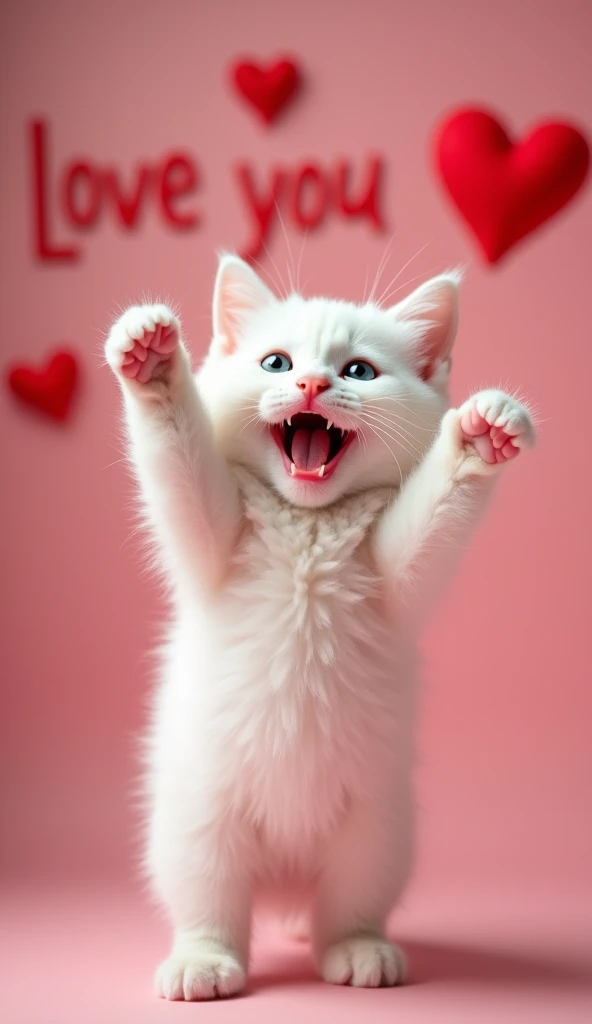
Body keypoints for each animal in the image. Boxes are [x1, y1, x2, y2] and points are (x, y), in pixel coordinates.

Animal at [104, 256, 532, 999]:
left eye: (359, 370)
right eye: (275, 362)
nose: (310, 384)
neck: (307, 523)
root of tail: (283, 883)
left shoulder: (393, 575)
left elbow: (432, 521)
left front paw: (480, 435)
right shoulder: (215, 542)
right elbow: (181, 467)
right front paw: (154, 360)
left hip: (376, 833)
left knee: (347, 903)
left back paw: (355, 948)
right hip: (198, 824)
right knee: (210, 901)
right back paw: (203, 960)